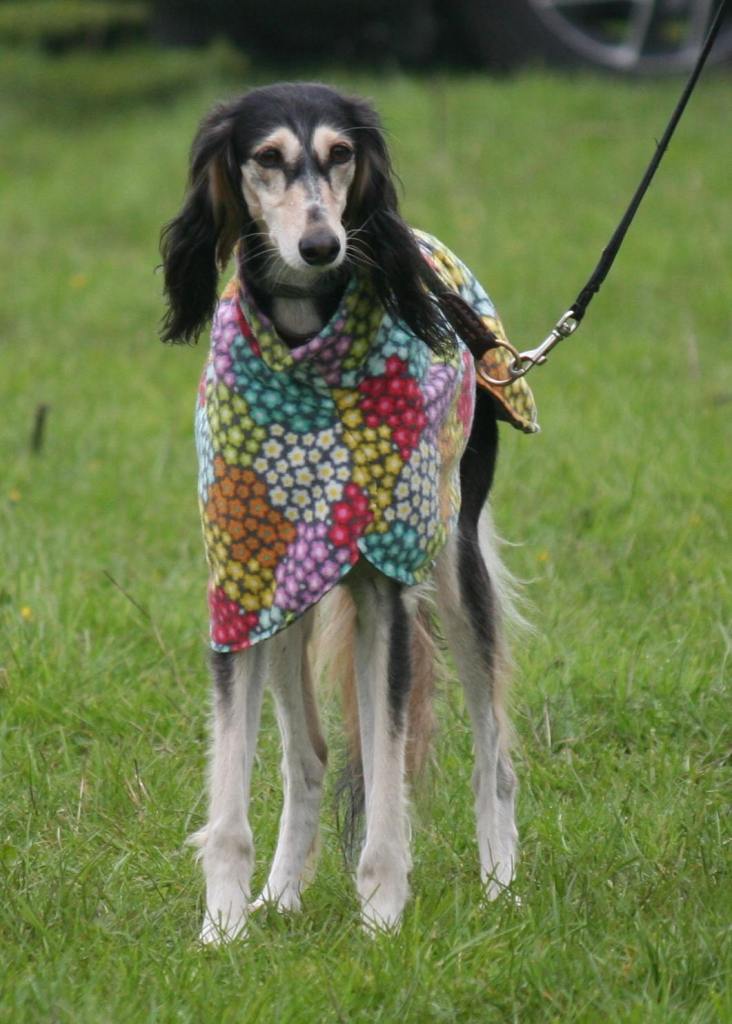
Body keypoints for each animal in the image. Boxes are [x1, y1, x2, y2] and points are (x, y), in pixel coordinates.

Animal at [160, 82, 537, 942]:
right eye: (267, 157)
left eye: (341, 154)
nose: (321, 246)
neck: (305, 352)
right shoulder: (239, 590)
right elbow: (233, 795)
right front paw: (221, 926)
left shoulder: (386, 594)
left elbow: (390, 778)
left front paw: (383, 917)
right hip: (286, 597)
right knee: (310, 757)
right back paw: (279, 894)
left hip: (453, 564)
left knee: (493, 756)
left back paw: (501, 887)